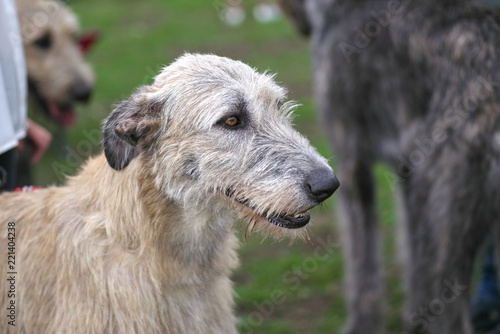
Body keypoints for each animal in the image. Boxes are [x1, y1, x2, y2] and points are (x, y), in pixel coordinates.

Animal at [280, 0, 500, 332]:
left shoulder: (350, 163)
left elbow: (363, 266)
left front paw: (362, 324)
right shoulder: (407, 170)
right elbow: (409, 252)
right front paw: (413, 315)